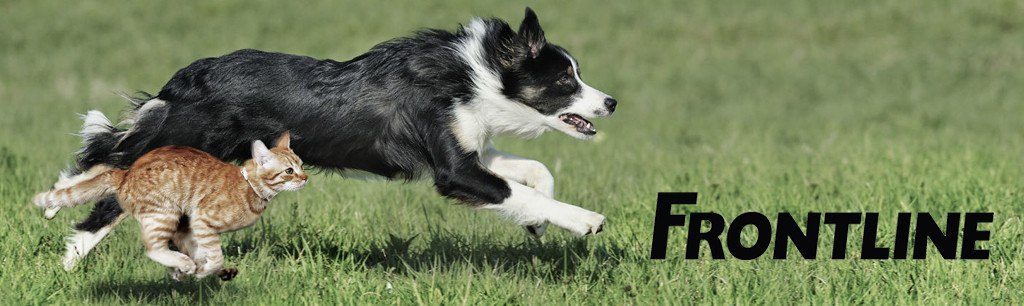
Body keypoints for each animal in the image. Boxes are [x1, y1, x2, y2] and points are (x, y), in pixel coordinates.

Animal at [36, 133, 307, 282]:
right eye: (289, 171)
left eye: (302, 165)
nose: (305, 178)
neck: (248, 184)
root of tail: (125, 175)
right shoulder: (201, 219)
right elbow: (213, 255)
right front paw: (195, 269)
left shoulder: (189, 229)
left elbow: (203, 254)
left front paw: (194, 270)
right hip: (165, 213)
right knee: (152, 247)